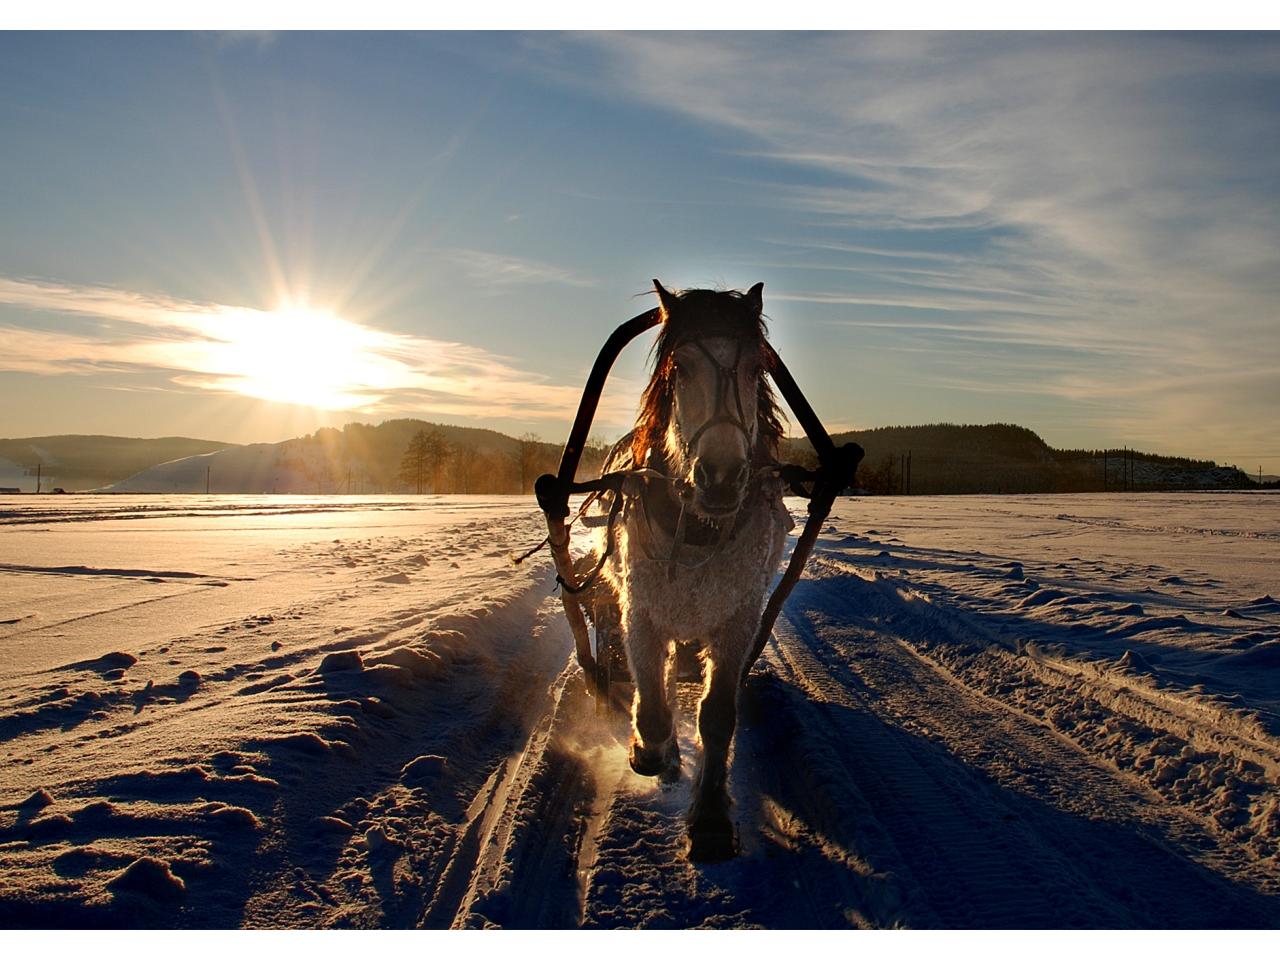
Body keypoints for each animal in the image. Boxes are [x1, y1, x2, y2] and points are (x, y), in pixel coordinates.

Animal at [586, 280, 788, 865]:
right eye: (681, 367)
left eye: (756, 368)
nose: (721, 476)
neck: (698, 524)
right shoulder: (642, 610)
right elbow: (653, 704)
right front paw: (651, 751)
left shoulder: (738, 618)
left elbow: (717, 715)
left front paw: (712, 818)